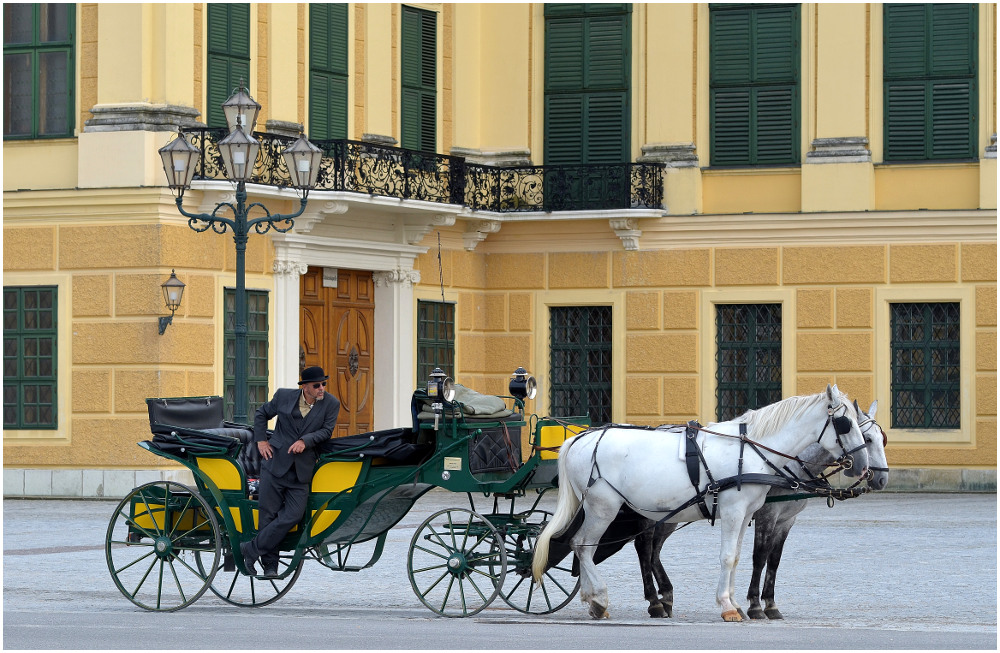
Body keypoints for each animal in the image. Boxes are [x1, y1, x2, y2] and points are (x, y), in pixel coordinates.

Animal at [532, 384, 868, 620]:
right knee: (583, 546)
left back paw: (594, 600)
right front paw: (727, 606)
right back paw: (601, 597)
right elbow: (728, 557)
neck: (752, 450)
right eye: (845, 424)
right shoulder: (733, 511)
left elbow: (737, 557)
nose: (864, 467)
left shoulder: (746, 514)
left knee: (585, 547)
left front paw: (736, 602)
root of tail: (581, 438)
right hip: (603, 507)